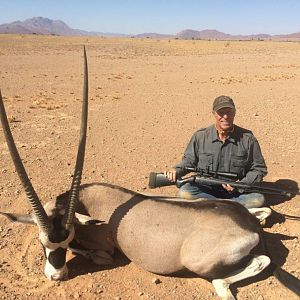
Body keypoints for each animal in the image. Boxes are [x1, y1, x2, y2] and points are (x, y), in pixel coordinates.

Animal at [0, 48, 298, 298]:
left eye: (67, 238)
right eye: (42, 242)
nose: (57, 276)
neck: (87, 201)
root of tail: (251, 227)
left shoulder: (105, 249)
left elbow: (94, 253)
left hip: (199, 262)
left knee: (252, 265)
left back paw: (223, 287)